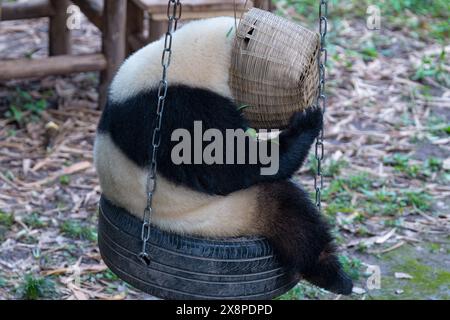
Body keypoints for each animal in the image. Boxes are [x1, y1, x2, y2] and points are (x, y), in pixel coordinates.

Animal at [95, 16, 354, 294]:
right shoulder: (178, 107)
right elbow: (226, 164)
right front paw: (308, 122)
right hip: (220, 216)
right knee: (294, 215)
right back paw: (334, 276)